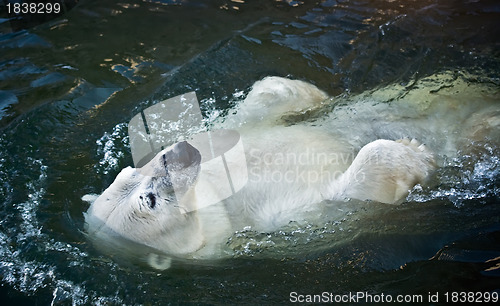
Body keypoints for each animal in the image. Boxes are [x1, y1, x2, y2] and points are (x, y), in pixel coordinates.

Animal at [84, 73, 498, 268]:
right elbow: (346, 195)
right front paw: (414, 154)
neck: (220, 199)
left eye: (129, 173)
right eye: (150, 200)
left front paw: (313, 99)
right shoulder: (284, 224)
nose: (180, 151)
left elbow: (267, 95)